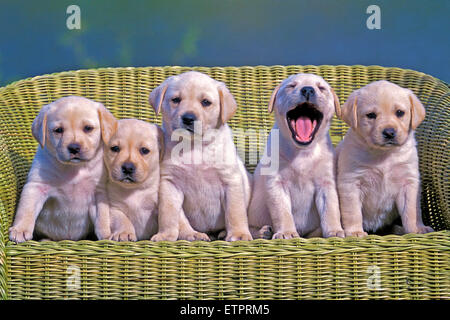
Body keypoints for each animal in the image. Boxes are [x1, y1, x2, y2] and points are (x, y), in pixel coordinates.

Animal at [9, 96, 116, 241]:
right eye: (58, 130)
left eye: (88, 128)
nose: (74, 148)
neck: (73, 169)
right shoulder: (36, 186)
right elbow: (26, 209)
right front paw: (20, 229)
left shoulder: (98, 192)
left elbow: (102, 216)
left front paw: (106, 235)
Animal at [149, 70, 251, 240]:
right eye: (176, 100)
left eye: (206, 102)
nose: (188, 118)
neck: (194, 146)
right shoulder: (169, 184)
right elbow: (169, 213)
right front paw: (166, 235)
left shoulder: (231, 180)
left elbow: (235, 211)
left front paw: (239, 234)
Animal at [248, 72, 342, 238]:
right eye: (291, 86)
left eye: (321, 88)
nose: (308, 90)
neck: (302, 152)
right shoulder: (277, 184)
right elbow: (282, 212)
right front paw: (287, 232)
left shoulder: (326, 184)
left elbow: (331, 209)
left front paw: (335, 230)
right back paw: (263, 232)